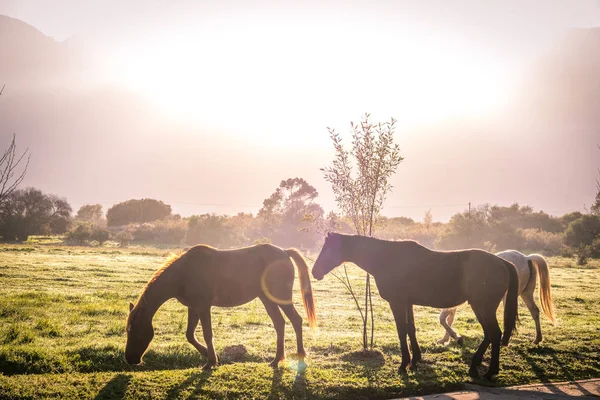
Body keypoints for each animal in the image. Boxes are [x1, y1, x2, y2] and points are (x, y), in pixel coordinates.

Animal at [124, 242, 316, 370]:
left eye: (134, 330)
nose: (129, 359)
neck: (182, 274)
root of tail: (284, 252)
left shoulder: (203, 307)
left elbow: (207, 334)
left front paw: (211, 362)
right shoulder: (193, 307)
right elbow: (190, 335)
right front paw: (212, 356)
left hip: (280, 297)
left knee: (296, 320)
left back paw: (300, 354)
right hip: (267, 300)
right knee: (280, 323)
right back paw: (277, 359)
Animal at [312, 233, 516, 380]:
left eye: (327, 248)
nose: (315, 272)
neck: (387, 258)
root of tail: (502, 262)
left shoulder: (397, 303)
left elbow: (402, 331)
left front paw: (404, 365)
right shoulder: (408, 303)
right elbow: (411, 329)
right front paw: (415, 360)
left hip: (483, 307)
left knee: (494, 334)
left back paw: (488, 371)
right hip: (482, 308)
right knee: (490, 335)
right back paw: (476, 368)